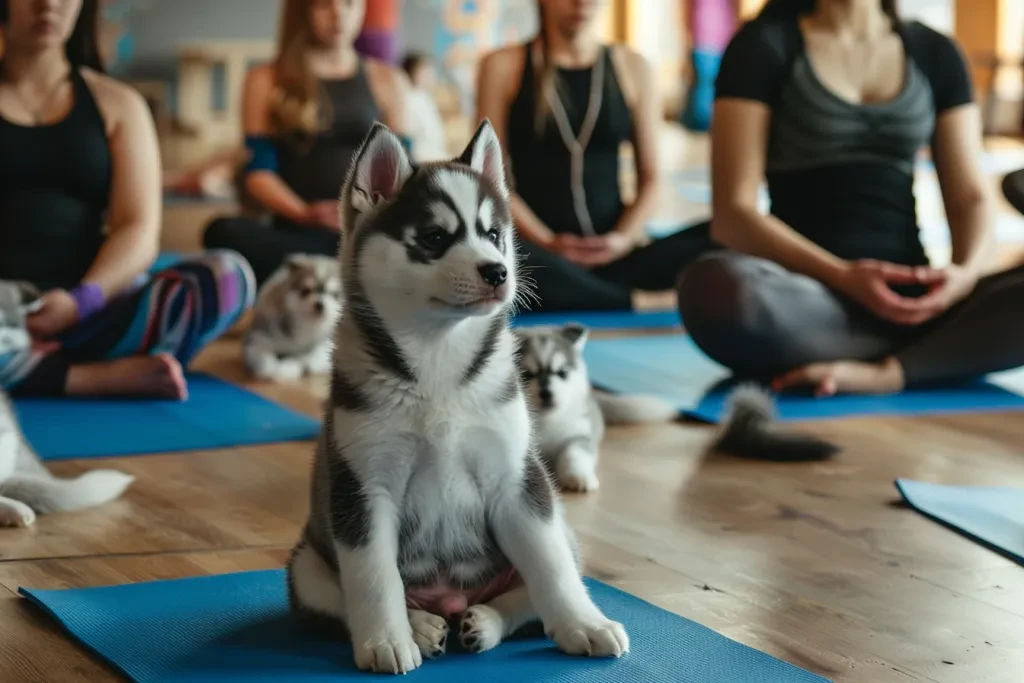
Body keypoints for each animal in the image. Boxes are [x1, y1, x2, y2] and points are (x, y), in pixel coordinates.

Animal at [241, 254, 342, 382]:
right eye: (306, 290)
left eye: (335, 294)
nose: (319, 304)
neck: (305, 325)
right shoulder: (258, 338)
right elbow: (263, 357)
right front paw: (270, 369)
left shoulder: (324, 345)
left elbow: (304, 359)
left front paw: (285, 369)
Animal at [284, 120, 626, 675]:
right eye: (435, 238)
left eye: (493, 235)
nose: (498, 271)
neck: (438, 357)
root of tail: (450, 596)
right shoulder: (364, 487)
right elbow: (373, 577)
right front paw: (386, 640)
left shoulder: (518, 478)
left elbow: (550, 566)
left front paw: (583, 624)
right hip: (307, 565)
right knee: (342, 596)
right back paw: (421, 626)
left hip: (565, 532)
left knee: (540, 579)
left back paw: (485, 620)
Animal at [520, 325, 679, 491]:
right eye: (526, 375)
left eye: (562, 373)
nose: (546, 393)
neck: (545, 421)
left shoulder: (577, 434)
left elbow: (574, 453)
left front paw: (578, 476)